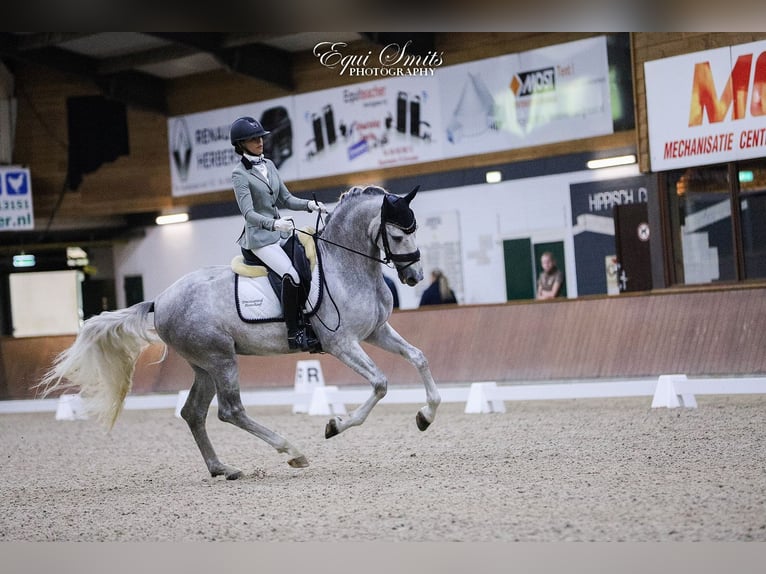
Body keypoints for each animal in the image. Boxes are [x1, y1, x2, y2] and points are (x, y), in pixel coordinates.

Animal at [37, 186, 444, 482]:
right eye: (397, 234)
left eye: (415, 230)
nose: (414, 277)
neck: (346, 265)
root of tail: (160, 300)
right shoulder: (340, 343)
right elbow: (380, 383)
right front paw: (334, 425)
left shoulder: (376, 331)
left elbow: (420, 357)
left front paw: (425, 416)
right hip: (221, 359)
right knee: (230, 410)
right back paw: (292, 451)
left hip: (204, 365)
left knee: (193, 412)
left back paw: (224, 469)